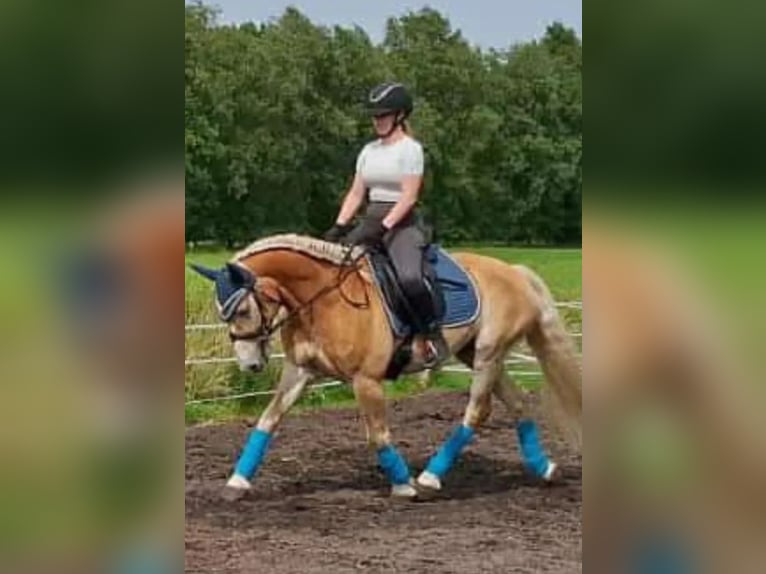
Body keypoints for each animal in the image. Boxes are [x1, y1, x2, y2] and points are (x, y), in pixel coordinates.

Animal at [190, 234, 581, 499]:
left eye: (242, 309)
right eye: (222, 312)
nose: (250, 364)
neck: (324, 300)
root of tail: (515, 272)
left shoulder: (366, 380)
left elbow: (377, 434)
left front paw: (403, 484)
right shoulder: (299, 372)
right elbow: (268, 421)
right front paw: (237, 482)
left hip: (488, 353)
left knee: (477, 411)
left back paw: (430, 477)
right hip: (478, 355)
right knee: (517, 404)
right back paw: (545, 468)